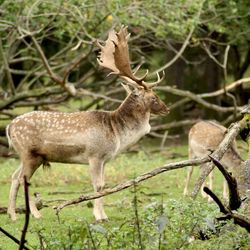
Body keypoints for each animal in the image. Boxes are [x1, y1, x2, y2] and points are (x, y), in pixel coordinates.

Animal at [5, 26, 169, 221]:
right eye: (154, 97)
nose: (167, 109)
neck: (117, 132)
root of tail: (9, 127)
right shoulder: (95, 155)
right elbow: (97, 185)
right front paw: (99, 216)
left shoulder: (105, 159)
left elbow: (104, 185)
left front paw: (103, 215)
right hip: (29, 154)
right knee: (23, 179)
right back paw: (35, 214)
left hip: (27, 156)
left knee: (14, 177)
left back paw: (13, 215)